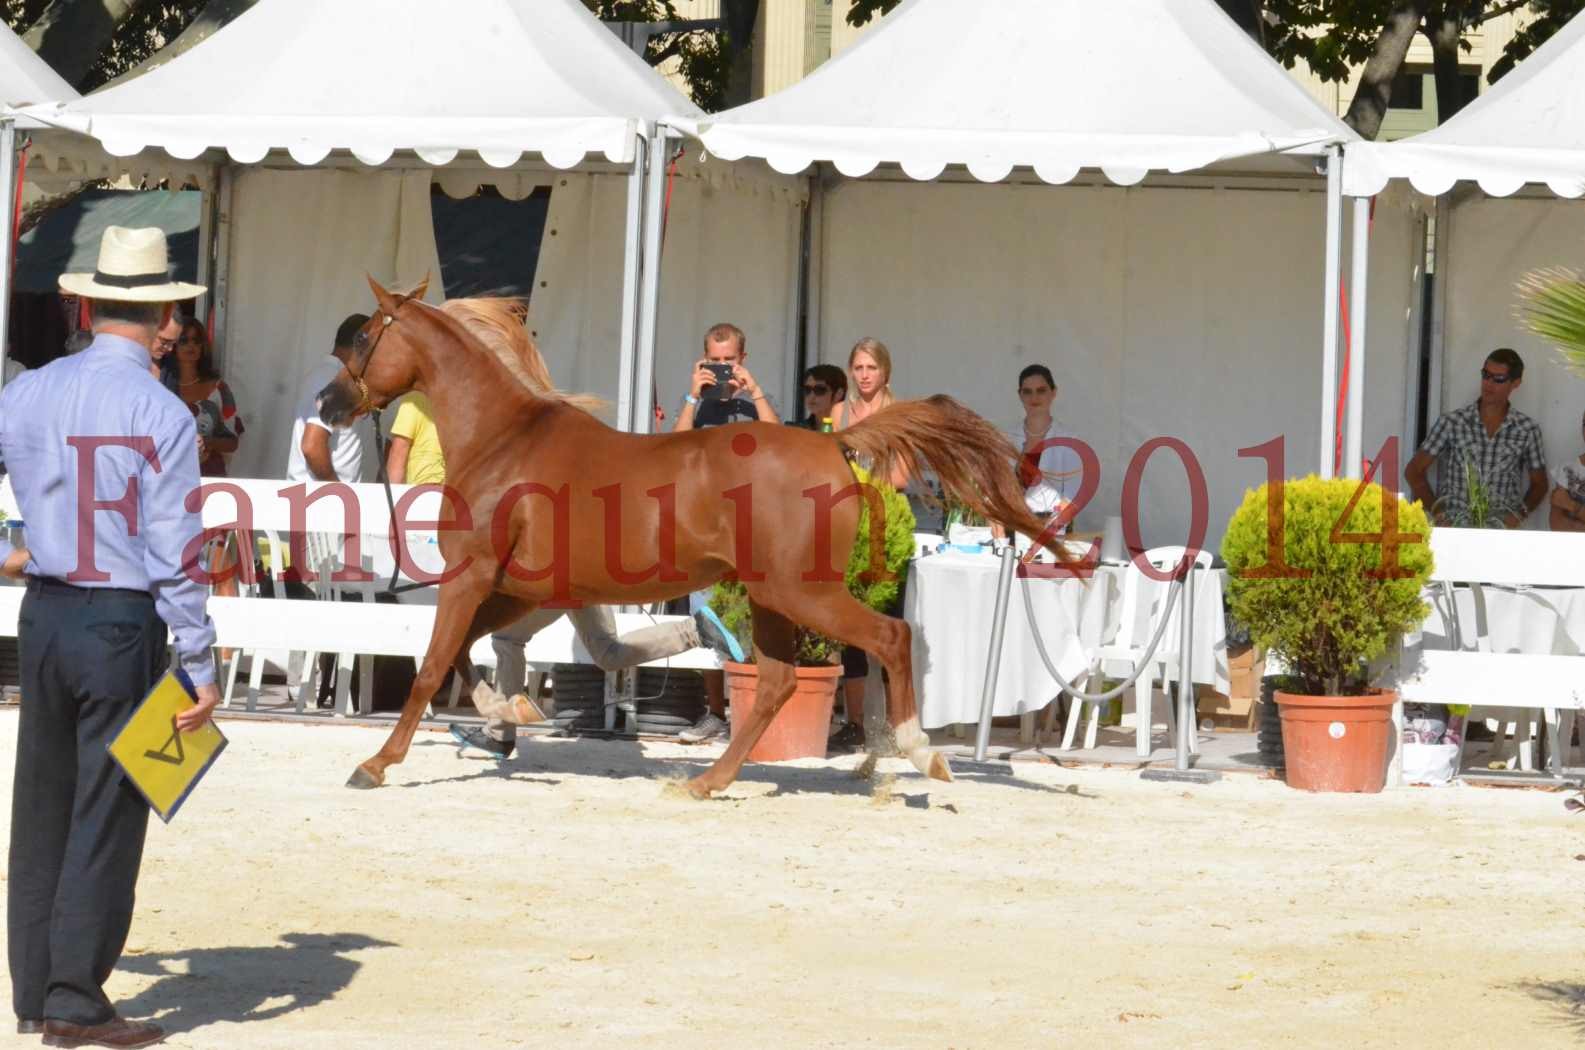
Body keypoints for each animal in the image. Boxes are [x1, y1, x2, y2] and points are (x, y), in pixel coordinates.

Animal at [320, 277, 1065, 799]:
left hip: (802, 592)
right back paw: (709, 781)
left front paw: (375, 764)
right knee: (775, 683)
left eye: (364, 340)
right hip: (772, 597)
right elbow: (464, 655)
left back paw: (918, 752)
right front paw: (507, 710)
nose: (330, 404)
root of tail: (835, 445)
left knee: (889, 638)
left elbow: (429, 666)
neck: (505, 440)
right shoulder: (515, 589)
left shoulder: (473, 577)